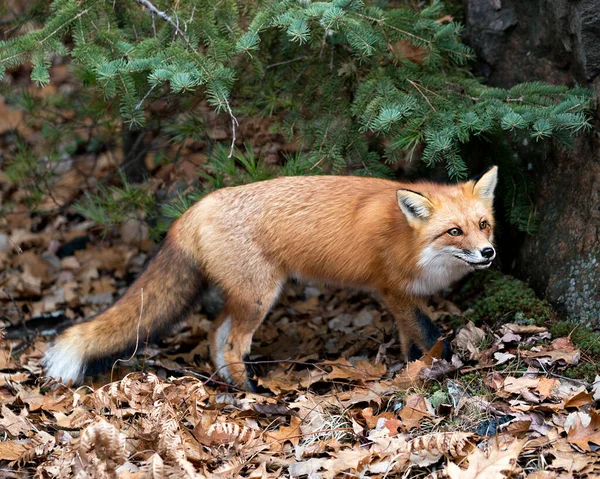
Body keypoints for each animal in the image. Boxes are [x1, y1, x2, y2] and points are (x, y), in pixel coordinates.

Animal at [44, 167, 500, 392]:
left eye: (483, 225)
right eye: (454, 231)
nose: (488, 253)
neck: (410, 240)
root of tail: (195, 208)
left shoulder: (402, 296)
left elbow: (412, 340)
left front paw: (413, 368)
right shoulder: (393, 289)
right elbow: (431, 333)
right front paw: (444, 366)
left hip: (246, 296)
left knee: (214, 334)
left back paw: (230, 384)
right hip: (260, 296)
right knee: (232, 343)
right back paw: (251, 391)